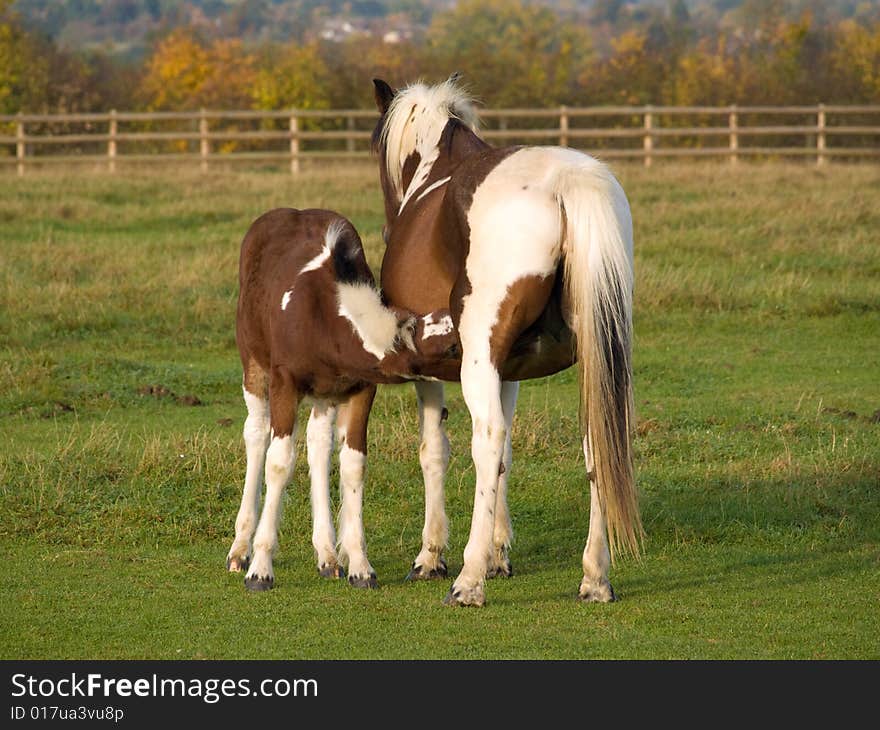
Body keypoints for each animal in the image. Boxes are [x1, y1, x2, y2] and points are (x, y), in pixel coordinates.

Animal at [227, 208, 458, 588]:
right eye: (453, 345)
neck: (325, 317)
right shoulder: (284, 383)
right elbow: (279, 462)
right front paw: (260, 568)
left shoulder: (361, 389)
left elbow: (353, 464)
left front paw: (360, 565)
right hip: (254, 365)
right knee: (257, 434)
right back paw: (240, 548)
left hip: (325, 394)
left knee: (319, 443)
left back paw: (327, 556)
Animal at [368, 77, 644, 604]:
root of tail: (566, 185)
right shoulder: (509, 370)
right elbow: (506, 459)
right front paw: (499, 554)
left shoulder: (433, 366)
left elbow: (437, 450)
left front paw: (433, 556)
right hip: (597, 363)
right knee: (596, 445)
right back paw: (595, 577)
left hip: (479, 360)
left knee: (488, 438)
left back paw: (468, 580)